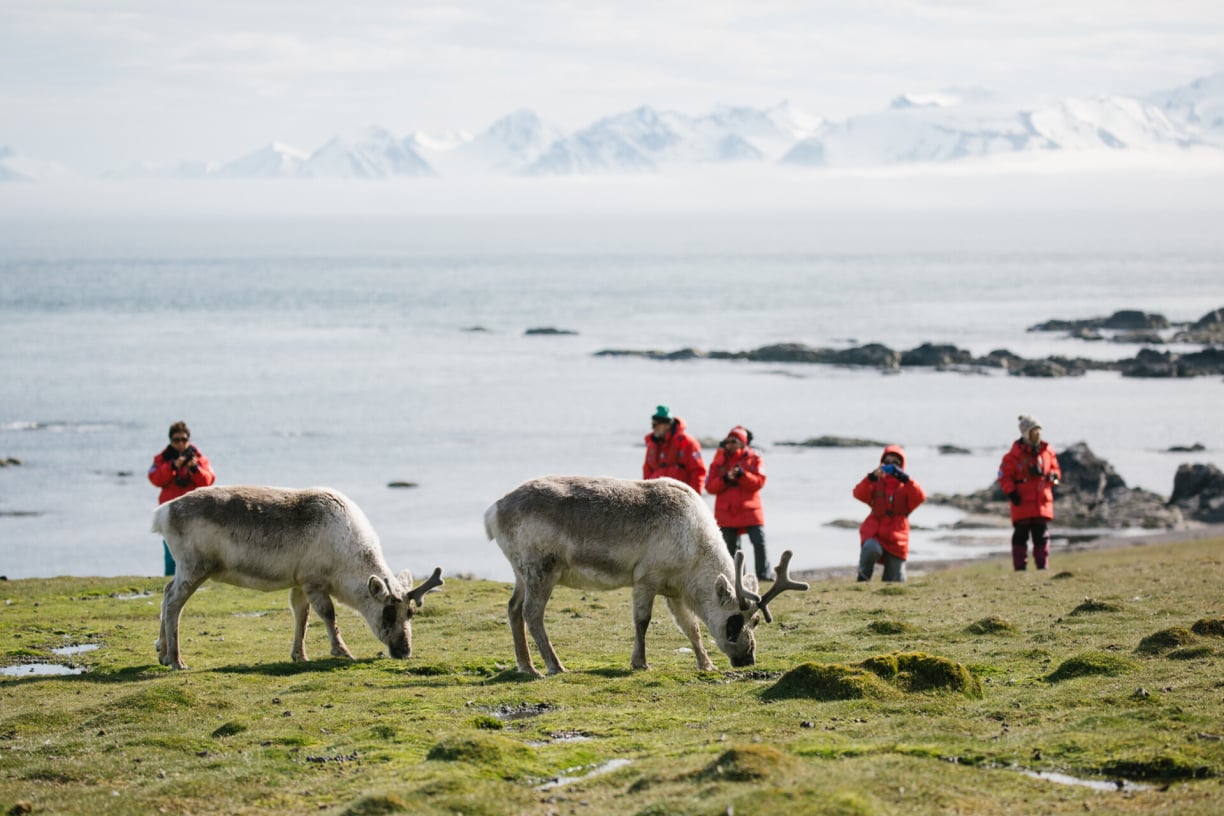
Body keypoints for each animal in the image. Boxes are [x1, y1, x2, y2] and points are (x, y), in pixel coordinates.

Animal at [151, 485, 443, 669]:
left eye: (411, 613)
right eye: (388, 613)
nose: (404, 651)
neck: (349, 559)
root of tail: (162, 513)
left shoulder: (300, 581)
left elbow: (301, 615)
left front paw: (299, 655)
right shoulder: (314, 580)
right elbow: (328, 614)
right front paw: (342, 651)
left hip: (187, 568)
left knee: (165, 592)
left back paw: (162, 652)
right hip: (195, 566)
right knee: (174, 602)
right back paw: (177, 661)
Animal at [484, 475, 808, 676]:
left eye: (757, 620)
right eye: (736, 621)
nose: (747, 659)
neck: (696, 550)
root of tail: (494, 511)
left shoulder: (674, 591)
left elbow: (691, 627)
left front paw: (706, 665)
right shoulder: (646, 578)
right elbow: (642, 621)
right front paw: (640, 662)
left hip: (521, 573)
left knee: (513, 608)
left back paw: (526, 666)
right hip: (541, 569)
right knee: (532, 613)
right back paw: (554, 666)